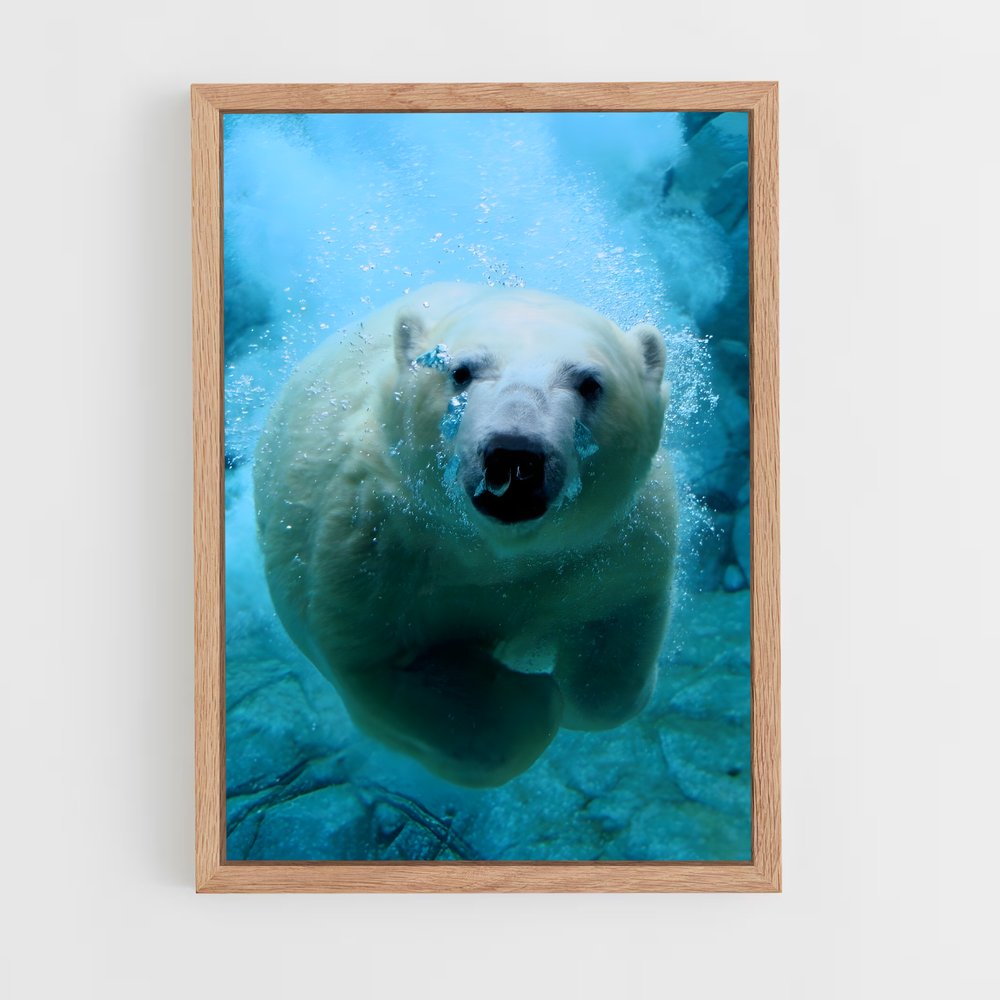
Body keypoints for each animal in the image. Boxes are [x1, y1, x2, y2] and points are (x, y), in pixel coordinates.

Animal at [254, 283, 677, 787]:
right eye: (460, 371)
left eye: (590, 383)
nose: (515, 455)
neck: (494, 549)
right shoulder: (372, 544)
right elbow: (384, 667)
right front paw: (530, 694)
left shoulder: (612, 544)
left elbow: (615, 643)